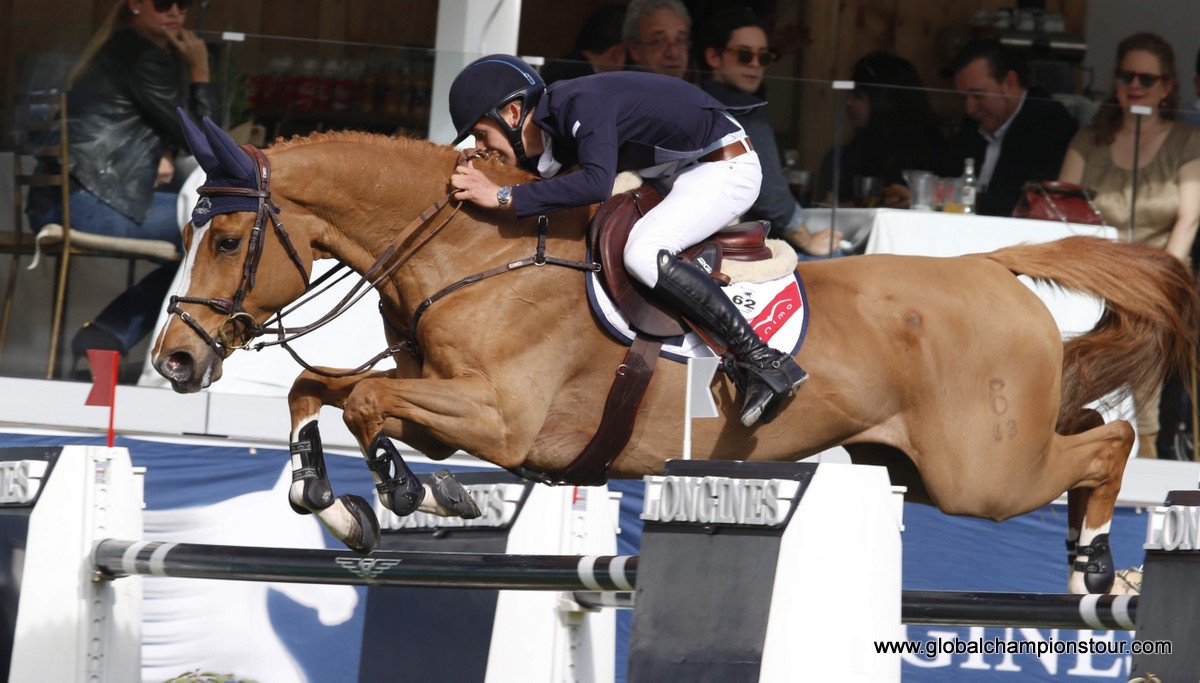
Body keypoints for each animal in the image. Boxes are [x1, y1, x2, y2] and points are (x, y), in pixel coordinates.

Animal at [157, 120, 1200, 592]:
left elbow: (368, 406)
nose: (171, 363)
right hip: (936, 459)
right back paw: (1096, 559)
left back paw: (1099, 560)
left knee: (1105, 446)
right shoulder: (446, 397)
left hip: (980, 472)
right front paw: (335, 507)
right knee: (1087, 430)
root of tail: (992, 266)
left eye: (224, 238)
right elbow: (315, 387)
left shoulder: (501, 418)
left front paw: (417, 492)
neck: (473, 248)